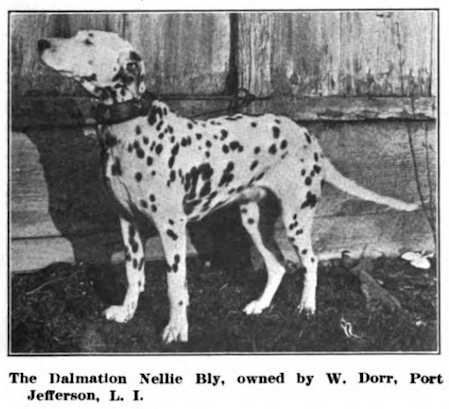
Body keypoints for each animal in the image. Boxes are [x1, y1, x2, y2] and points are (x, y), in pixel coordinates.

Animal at [36, 31, 418, 342]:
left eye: (88, 41)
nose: (41, 43)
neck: (129, 127)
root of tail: (306, 134)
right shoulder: (127, 224)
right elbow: (134, 274)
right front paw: (127, 312)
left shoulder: (172, 230)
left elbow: (176, 285)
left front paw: (177, 329)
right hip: (252, 221)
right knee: (277, 265)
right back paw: (260, 305)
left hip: (295, 220)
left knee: (310, 261)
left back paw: (307, 307)